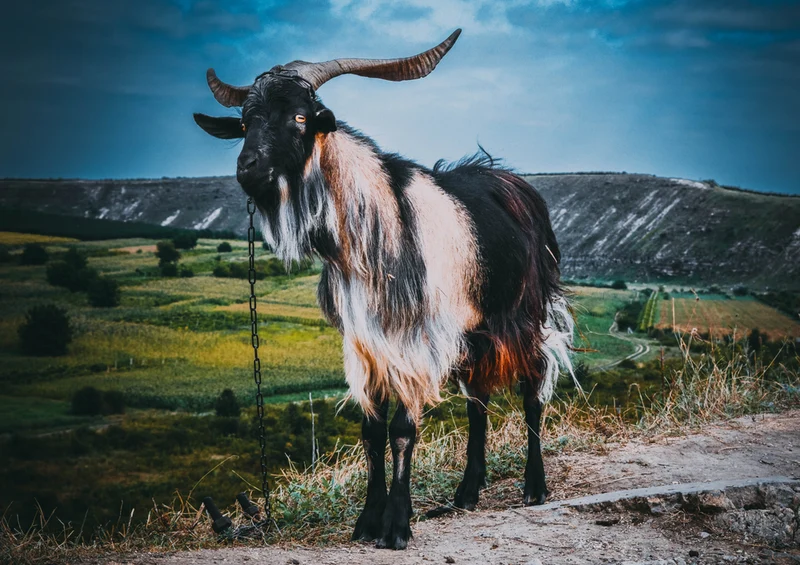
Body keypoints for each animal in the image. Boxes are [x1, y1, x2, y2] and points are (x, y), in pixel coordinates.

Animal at [194, 29, 574, 550]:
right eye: (246, 121)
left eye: (298, 117)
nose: (248, 168)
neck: (371, 226)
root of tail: (518, 186)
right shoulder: (364, 343)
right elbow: (372, 430)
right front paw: (367, 521)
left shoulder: (417, 340)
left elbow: (401, 429)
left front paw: (396, 526)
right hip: (473, 332)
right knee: (477, 399)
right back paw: (467, 492)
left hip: (522, 314)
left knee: (532, 385)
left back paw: (534, 487)